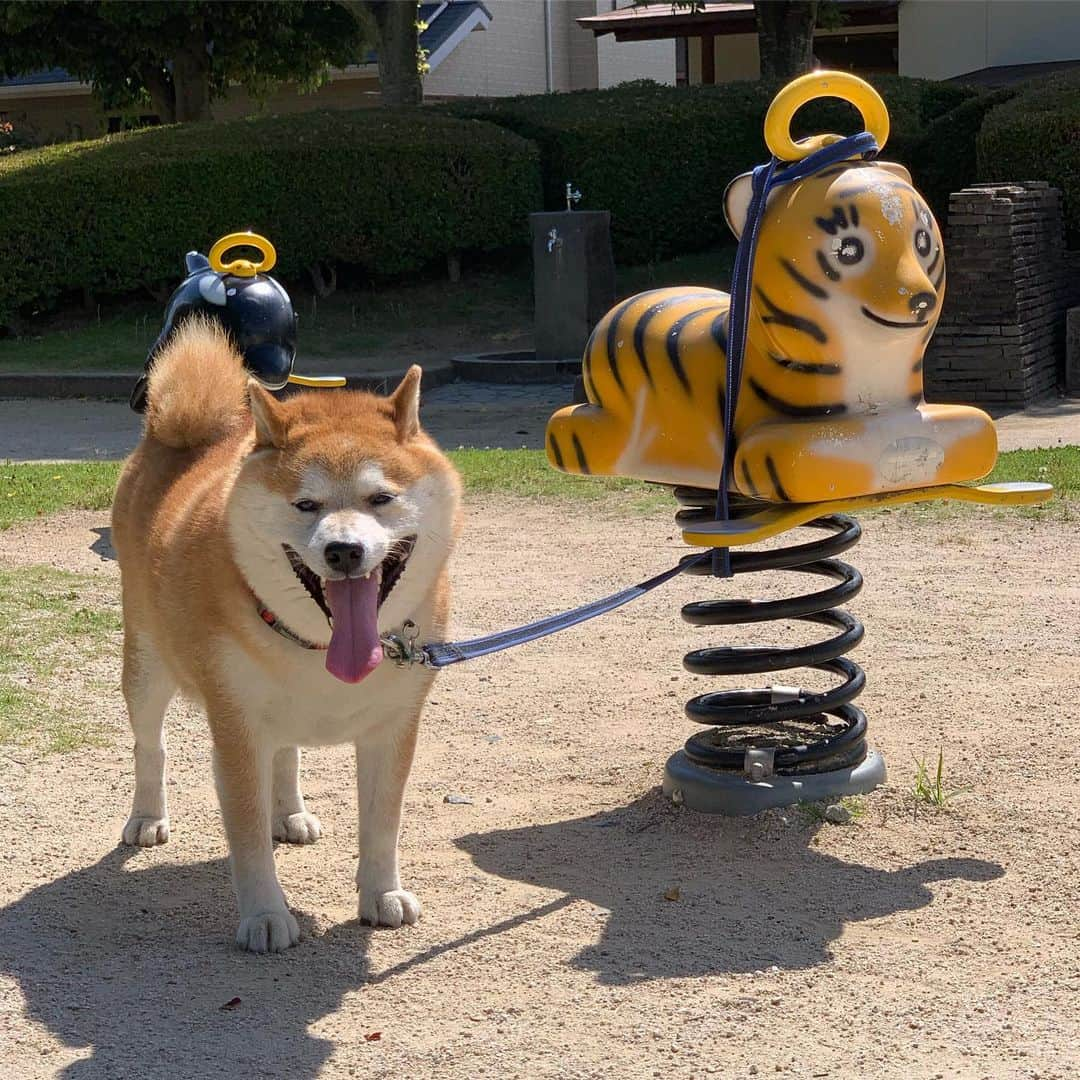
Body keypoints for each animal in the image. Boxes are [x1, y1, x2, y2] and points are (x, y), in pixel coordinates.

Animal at [112, 317, 460, 954]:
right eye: (305, 504)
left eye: (381, 498)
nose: (343, 550)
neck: (319, 649)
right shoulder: (237, 729)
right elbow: (247, 840)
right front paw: (265, 914)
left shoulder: (393, 728)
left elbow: (382, 822)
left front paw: (382, 893)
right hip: (146, 667)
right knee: (151, 745)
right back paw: (147, 816)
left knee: (287, 752)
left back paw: (289, 814)